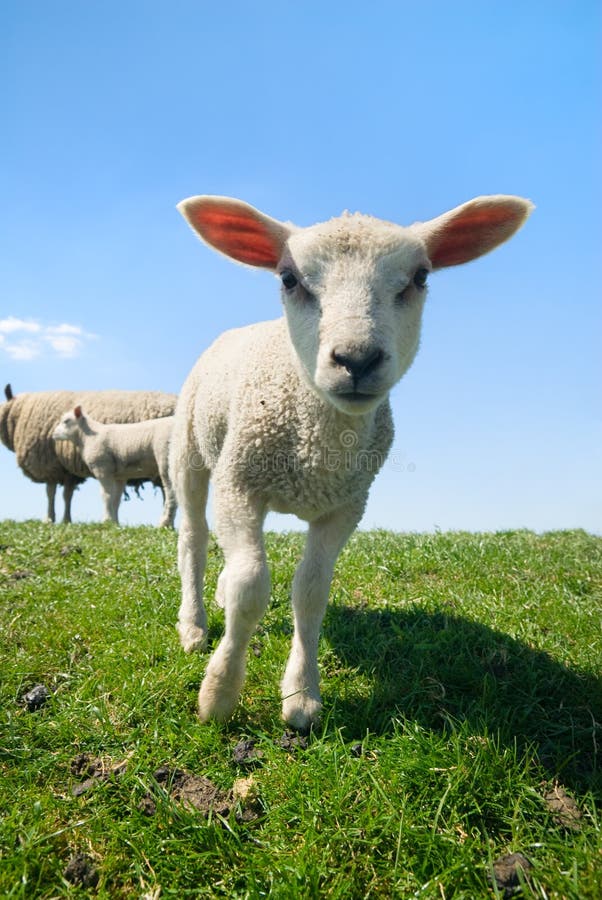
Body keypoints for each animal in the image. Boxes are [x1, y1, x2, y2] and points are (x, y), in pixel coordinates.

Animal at [0, 384, 176, 520]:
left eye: (65, 421)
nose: (52, 435)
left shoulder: (50, 465)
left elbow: (51, 493)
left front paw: (50, 519)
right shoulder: (68, 471)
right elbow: (67, 495)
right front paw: (66, 520)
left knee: (170, 494)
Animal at [171, 192, 532, 732]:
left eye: (420, 277)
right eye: (289, 279)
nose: (357, 359)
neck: (316, 448)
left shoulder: (345, 505)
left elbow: (311, 592)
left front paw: (302, 697)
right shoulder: (239, 484)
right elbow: (251, 586)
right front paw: (219, 694)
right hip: (191, 451)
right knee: (193, 537)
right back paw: (193, 625)